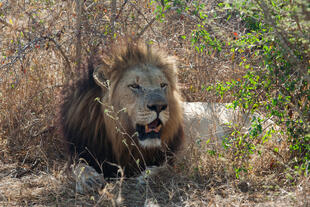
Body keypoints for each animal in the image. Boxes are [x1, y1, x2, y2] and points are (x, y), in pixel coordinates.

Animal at [61, 41, 185, 181]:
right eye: (134, 86)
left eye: (163, 85)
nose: (159, 106)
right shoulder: (79, 153)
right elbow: (79, 167)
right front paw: (91, 179)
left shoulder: (171, 160)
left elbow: (164, 168)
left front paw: (146, 176)